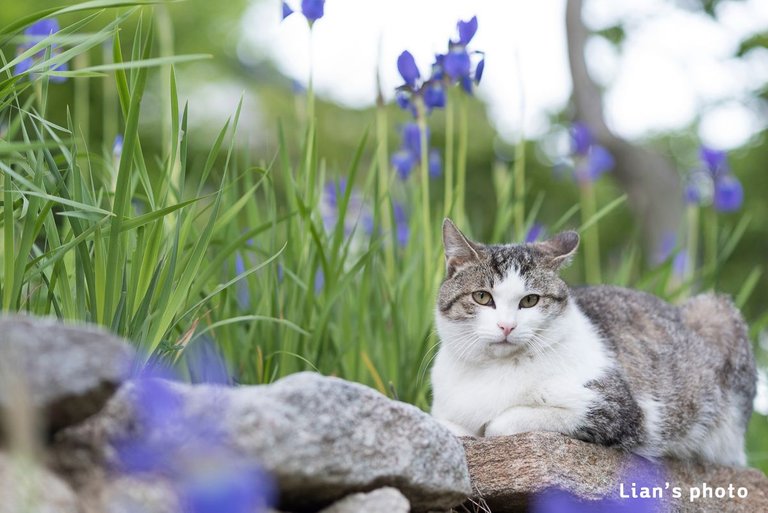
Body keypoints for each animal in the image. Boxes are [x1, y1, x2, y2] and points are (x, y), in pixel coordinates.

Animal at [432, 218, 756, 466]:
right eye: (482, 297)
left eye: (530, 300)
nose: (507, 326)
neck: (491, 371)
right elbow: (449, 426)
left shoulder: (618, 410)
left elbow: (501, 423)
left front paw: (487, 426)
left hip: (717, 311)